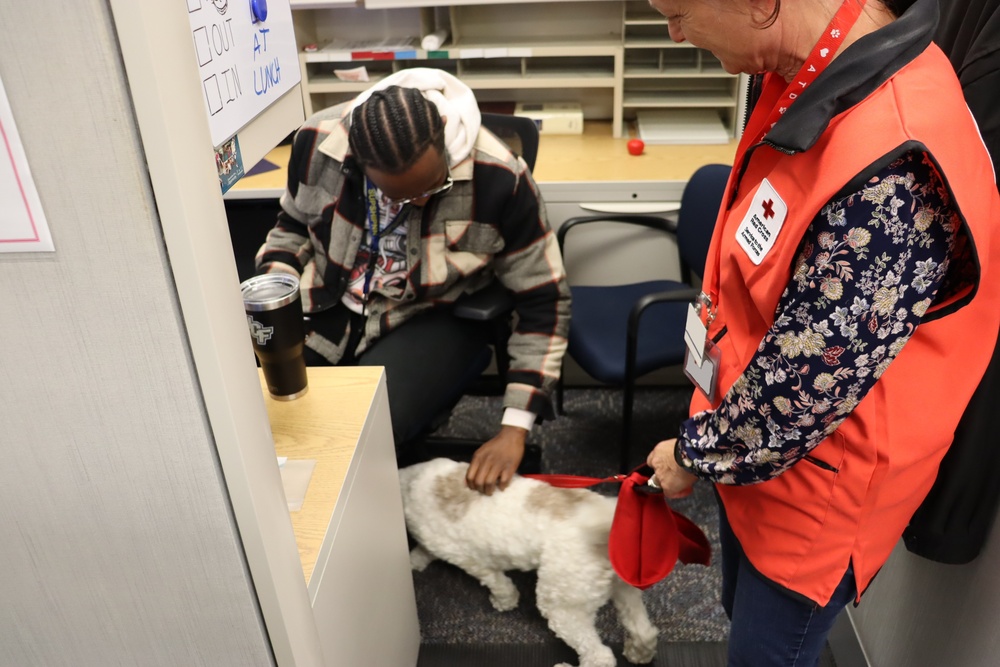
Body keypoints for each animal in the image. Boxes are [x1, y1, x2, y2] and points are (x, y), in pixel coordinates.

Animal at [394, 456, 660, 667]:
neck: (407, 482)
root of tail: (605, 525)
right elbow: (423, 552)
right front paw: (414, 561)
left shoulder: (468, 558)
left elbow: (497, 582)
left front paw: (504, 601)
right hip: (623, 588)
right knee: (644, 631)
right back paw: (638, 654)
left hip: (563, 603)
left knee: (599, 656)